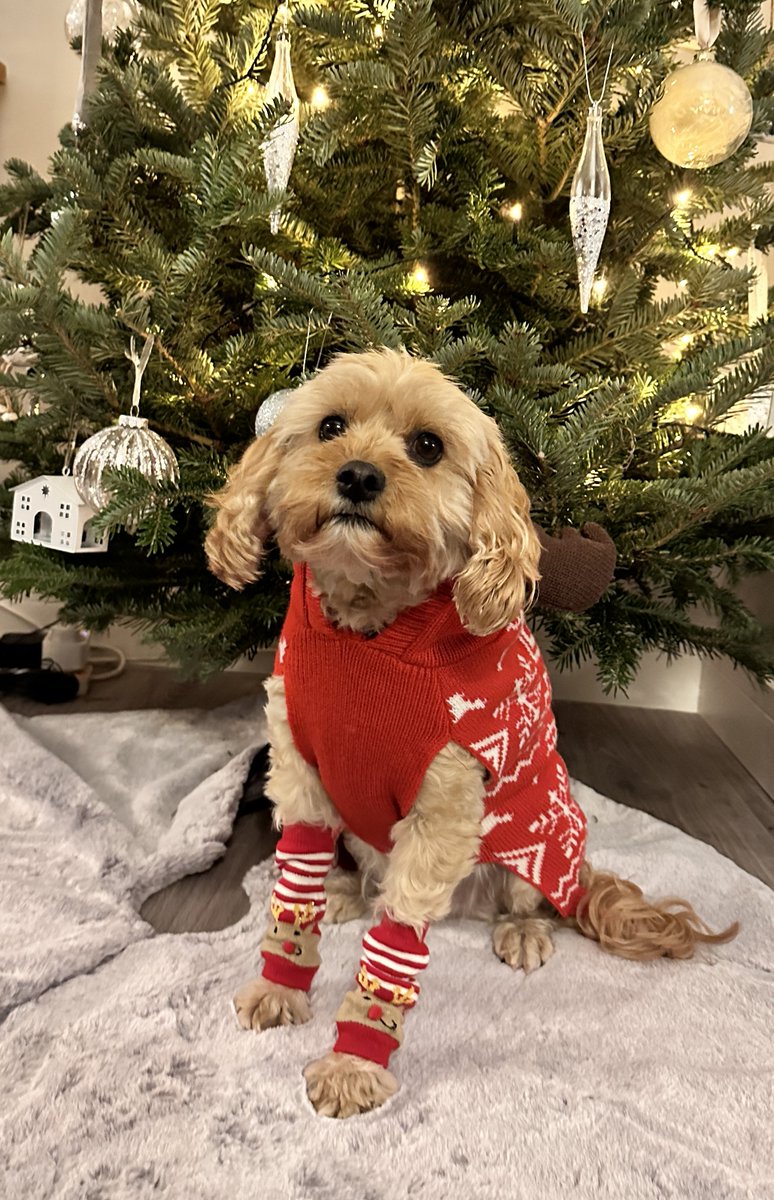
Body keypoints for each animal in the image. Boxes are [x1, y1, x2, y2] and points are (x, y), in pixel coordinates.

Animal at [205, 348, 734, 1113]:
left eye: (428, 446)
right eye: (330, 425)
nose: (358, 476)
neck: (368, 631)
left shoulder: (443, 816)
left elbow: (394, 947)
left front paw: (354, 1061)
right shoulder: (300, 775)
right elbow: (290, 897)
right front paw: (282, 986)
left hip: (534, 839)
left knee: (537, 903)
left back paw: (522, 930)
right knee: (361, 880)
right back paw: (343, 894)